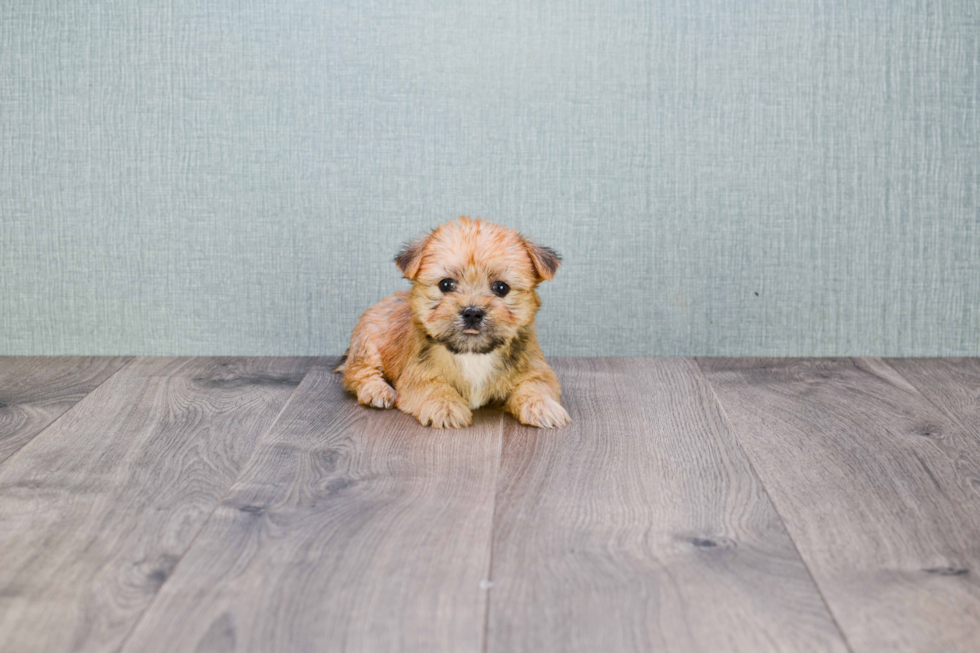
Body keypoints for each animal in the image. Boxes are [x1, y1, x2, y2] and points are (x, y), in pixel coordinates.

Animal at [336, 215, 572, 428]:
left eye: (501, 288)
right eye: (446, 284)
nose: (472, 313)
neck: (473, 354)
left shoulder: (536, 370)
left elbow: (535, 386)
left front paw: (543, 406)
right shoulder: (418, 375)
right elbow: (435, 387)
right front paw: (446, 407)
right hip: (367, 344)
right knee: (359, 374)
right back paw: (378, 391)